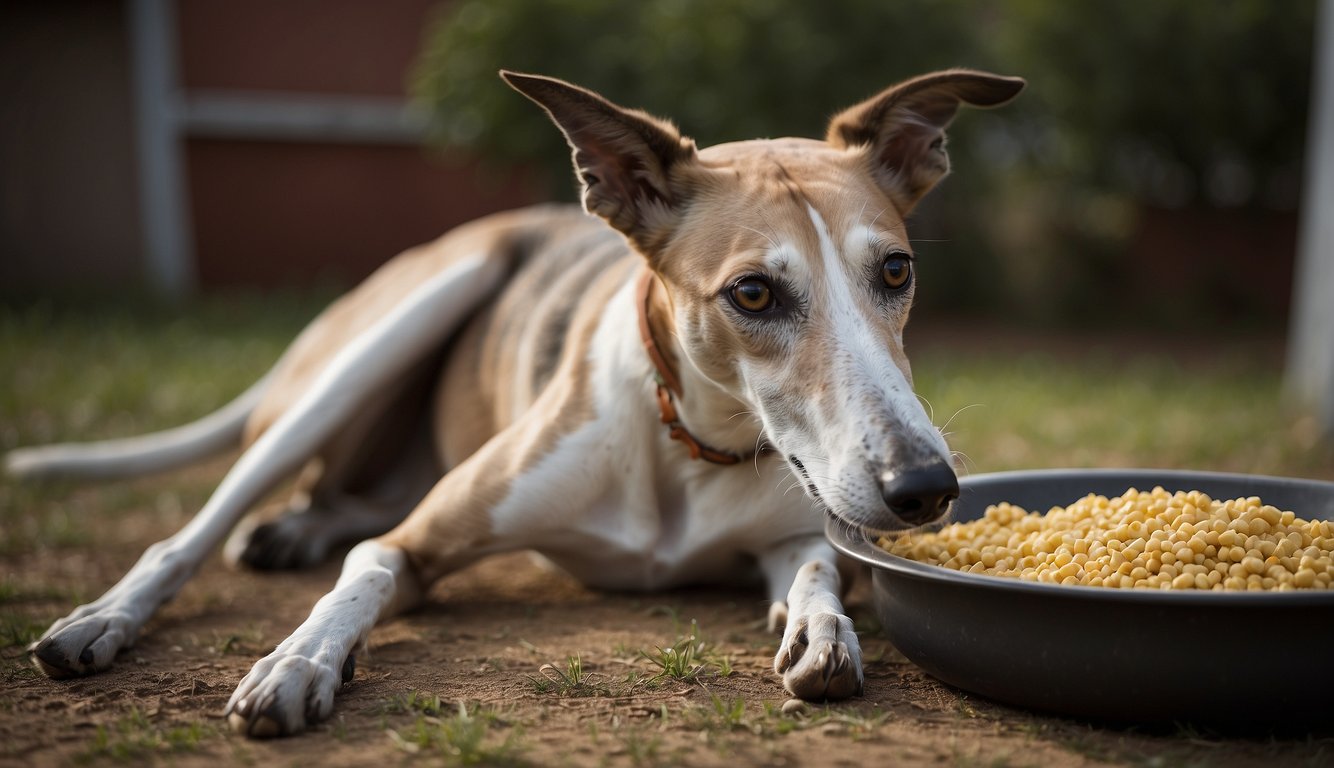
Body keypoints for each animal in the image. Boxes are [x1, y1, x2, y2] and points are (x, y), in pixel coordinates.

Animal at [7, 70, 1019, 736]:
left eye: (896, 271)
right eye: (754, 294)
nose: (926, 488)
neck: (687, 447)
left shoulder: (789, 533)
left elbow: (814, 570)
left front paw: (822, 630)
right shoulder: (417, 540)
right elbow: (367, 573)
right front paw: (297, 662)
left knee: (332, 502)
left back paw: (295, 530)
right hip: (404, 320)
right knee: (199, 528)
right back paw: (105, 619)